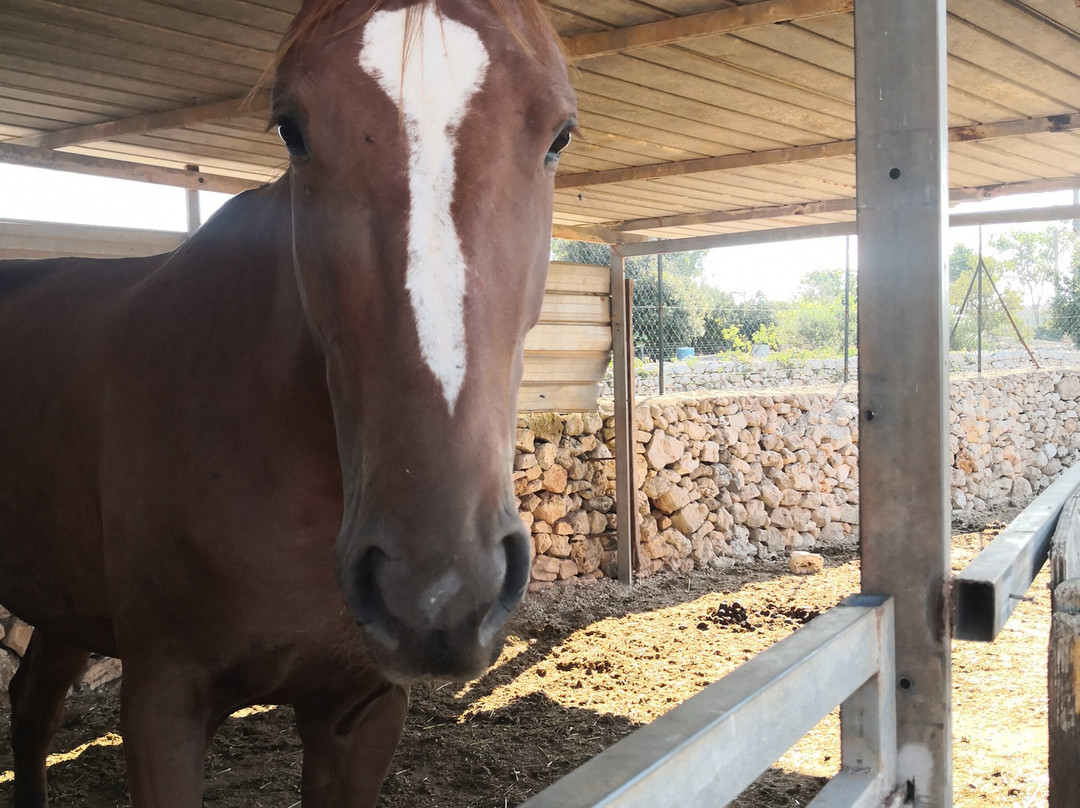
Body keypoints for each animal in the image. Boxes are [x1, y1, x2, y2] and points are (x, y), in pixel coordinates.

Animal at [0, 0, 575, 804]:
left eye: (559, 134)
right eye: (291, 129)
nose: (437, 591)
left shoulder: (362, 712)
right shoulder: (161, 705)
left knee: (32, 705)